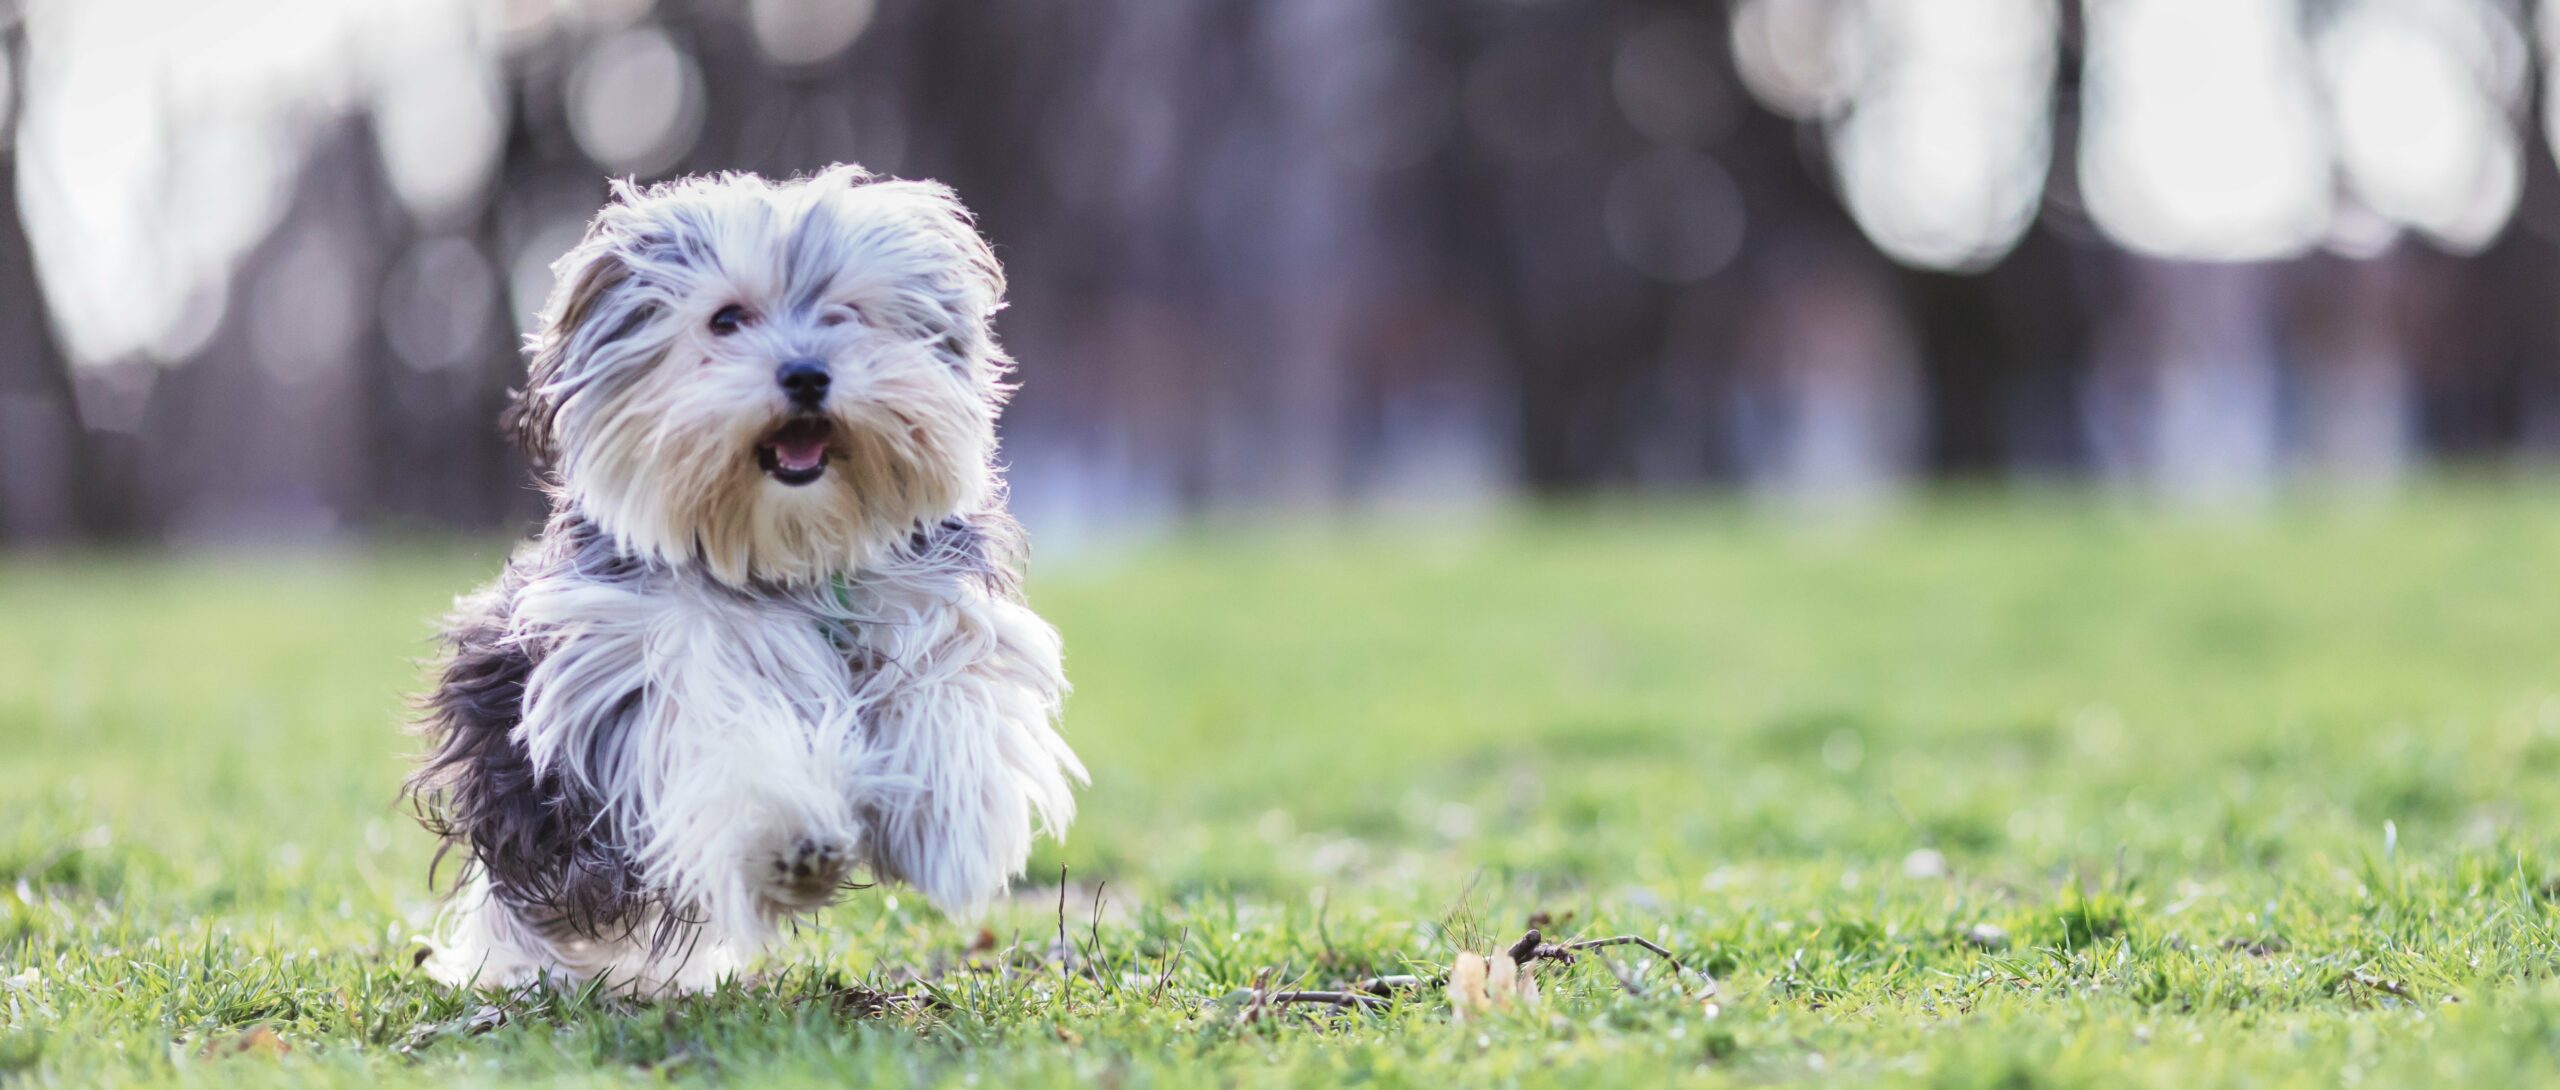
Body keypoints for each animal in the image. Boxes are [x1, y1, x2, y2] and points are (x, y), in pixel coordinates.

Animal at [404, 163, 1085, 997]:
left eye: (845, 313)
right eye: (727, 320)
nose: (806, 374)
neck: (791, 555)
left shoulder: (930, 606)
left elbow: (951, 687)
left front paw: (948, 822)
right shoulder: (651, 656)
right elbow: (728, 743)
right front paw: (789, 844)